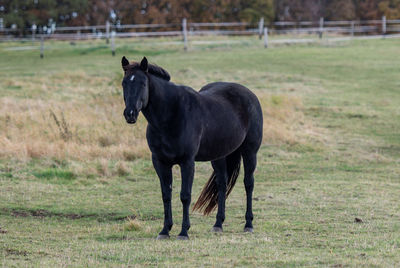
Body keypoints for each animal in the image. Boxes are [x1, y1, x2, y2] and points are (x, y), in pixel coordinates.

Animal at [120, 56, 264, 239]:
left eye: (143, 83)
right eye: (124, 83)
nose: (130, 114)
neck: (171, 114)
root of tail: (250, 95)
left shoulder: (187, 162)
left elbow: (185, 196)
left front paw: (183, 231)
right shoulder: (160, 162)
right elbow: (166, 195)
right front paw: (165, 230)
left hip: (250, 152)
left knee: (248, 183)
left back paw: (248, 224)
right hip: (219, 156)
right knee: (222, 184)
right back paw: (218, 224)